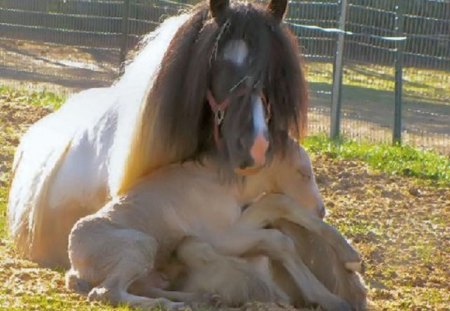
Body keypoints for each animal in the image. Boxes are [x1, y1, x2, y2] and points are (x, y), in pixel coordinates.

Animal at [66, 142, 362, 311]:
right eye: (302, 172)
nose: (321, 209)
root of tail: (75, 268)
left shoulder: (235, 222)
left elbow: (278, 203)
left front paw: (350, 257)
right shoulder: (219, 237)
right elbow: (278, 237)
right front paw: (332, 299)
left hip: (149, 268)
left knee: (142, 287)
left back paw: (201, 299)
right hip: (140, 244)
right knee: (106, 292)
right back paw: (172, 305)